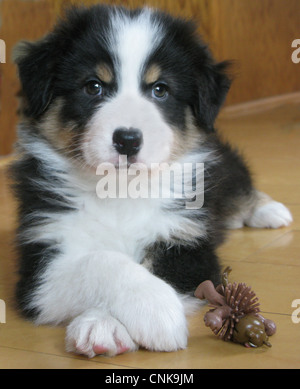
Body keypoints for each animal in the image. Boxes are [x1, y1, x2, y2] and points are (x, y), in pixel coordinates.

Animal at [9, 4, 292, 356]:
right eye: (93, 86)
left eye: (160, 89)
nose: (128, 140)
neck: (119, 190)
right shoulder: (41, 261)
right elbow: (101, 261)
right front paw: (138, 312)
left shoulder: (188, 245)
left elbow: (156, 268)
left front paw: (114, 320)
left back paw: (268, 210)